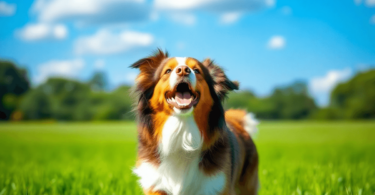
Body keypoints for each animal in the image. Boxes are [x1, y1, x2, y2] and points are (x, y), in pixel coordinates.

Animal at [131, 49, 258, 194]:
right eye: (168, 71)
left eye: (197, 70)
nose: (183, 70)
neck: (182, 130)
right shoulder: (156, 184)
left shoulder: (216, 185)